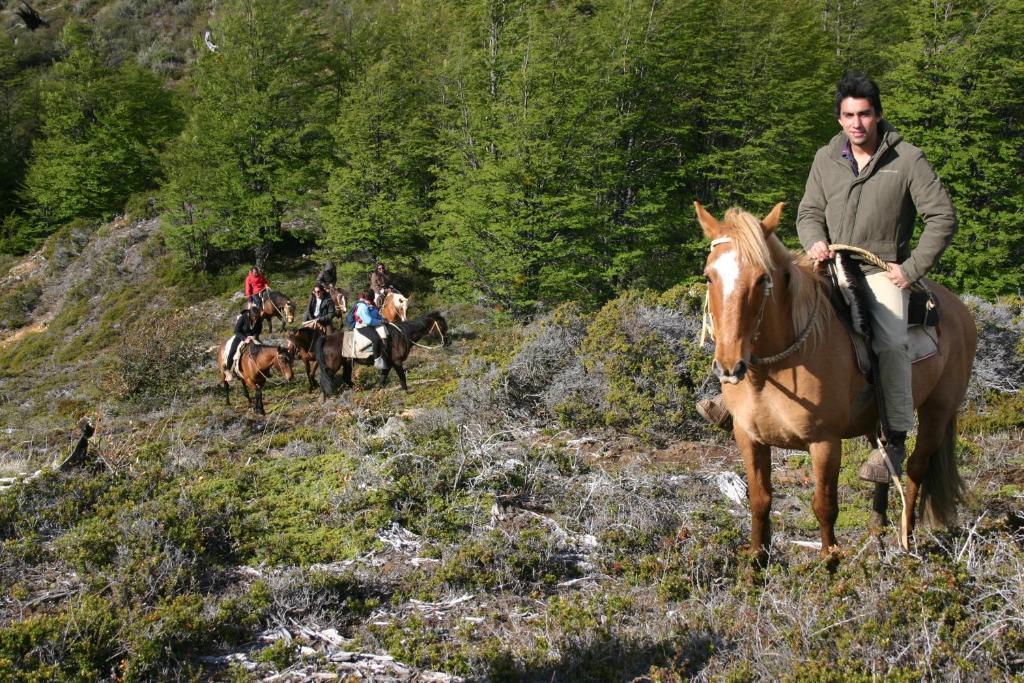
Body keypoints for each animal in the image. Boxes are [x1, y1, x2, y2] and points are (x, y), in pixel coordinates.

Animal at [313, 311, 450, 395]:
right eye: (442, 326)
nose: (449, 342)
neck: (402, 334)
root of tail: (327, 338)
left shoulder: (388, 364)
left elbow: (383, 379)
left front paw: (377, 391)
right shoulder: (397, 362)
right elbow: (402, 377)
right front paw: (407, 391)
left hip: (347, 363)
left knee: (345, 378)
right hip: (333, 366)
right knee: (326, 380)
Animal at [696, 201, 974, 561]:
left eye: (762, 278)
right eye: (708, 276)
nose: (729, 366)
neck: (773, 369)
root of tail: (959, 308)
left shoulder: (825, 442)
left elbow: (825, 506)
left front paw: (830, 562)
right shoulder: (749, 438)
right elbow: (759, 501)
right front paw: (757, 563)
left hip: (937, 411)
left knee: (915, 467)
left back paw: (905, 540)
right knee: (886, 466)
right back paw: (876, 533)